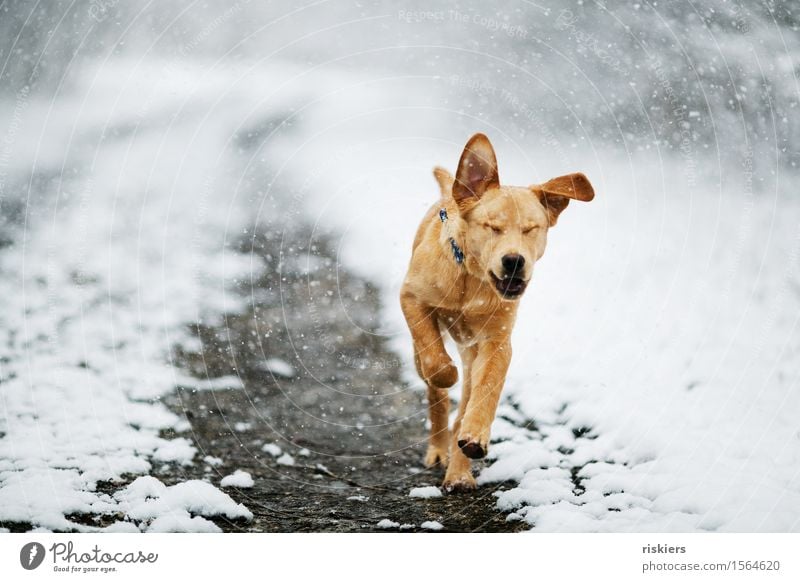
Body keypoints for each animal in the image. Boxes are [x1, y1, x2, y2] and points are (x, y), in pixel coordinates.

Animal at [400, 133, 592, 492]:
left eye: (531, 228)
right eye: (492, 227)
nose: (514, 261)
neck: (470, 280)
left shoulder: (497, 341)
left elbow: (486, 388)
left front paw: (474, 437)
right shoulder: (410, 297)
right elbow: (435, 361)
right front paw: (444, 371)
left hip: (472, 350)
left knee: (464, 402)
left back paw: (459, 471)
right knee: (434, 388)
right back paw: (439, 448)